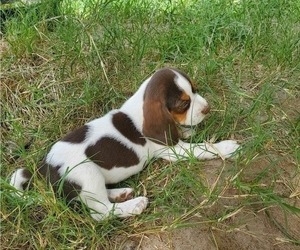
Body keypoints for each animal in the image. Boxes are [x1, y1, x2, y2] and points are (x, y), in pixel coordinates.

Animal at [9, 67, 240, 220]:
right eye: (184, 103)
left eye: (195, 89)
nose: (207, 108)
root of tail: (43, 169)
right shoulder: (172, 151)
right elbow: (203, 147)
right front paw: (227, 147)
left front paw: (185, 129)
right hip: (87, 174)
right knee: (101, 212)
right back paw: (134, 205)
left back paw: (120, 193)